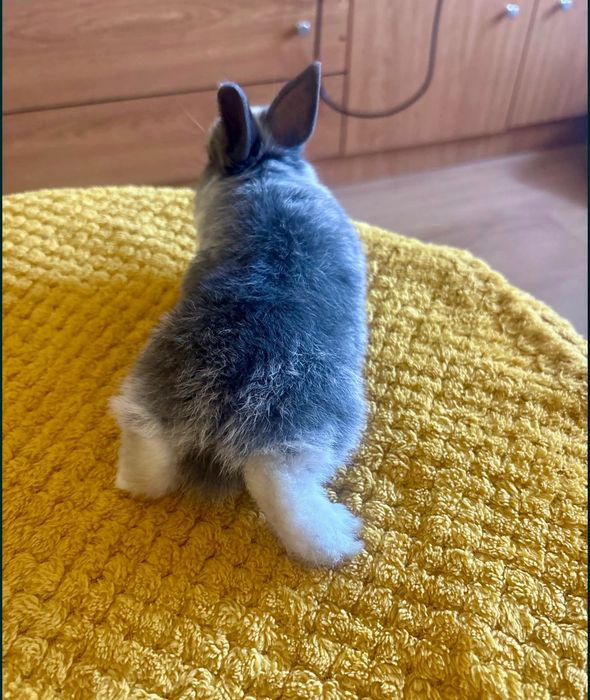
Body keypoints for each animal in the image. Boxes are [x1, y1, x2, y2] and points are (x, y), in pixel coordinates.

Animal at [110, 62, 368, 567]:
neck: (267, 171)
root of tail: (226, 390)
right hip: (316, 427)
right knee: (280, 487)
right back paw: (341, 539)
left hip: (150, 397)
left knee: (148, 468)